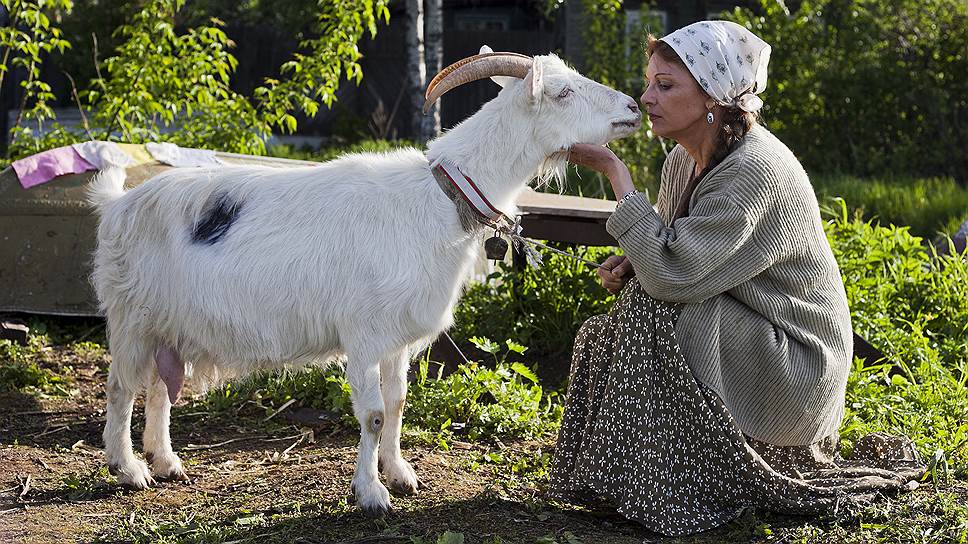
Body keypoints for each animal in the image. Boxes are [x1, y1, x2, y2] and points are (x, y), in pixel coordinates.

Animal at [89, 46, 636, 516]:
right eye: (563, 91)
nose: (632, 107)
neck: (438, 198)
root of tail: (117, 205)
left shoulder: (397, 339)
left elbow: (397, 404)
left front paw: (400, 474)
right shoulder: (365, 335)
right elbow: (373, 414)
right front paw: (371, 493)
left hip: (170, 325)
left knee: (158, 388)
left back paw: (167, 463)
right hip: (133, 316)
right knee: (121, 387)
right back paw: (128, 469)